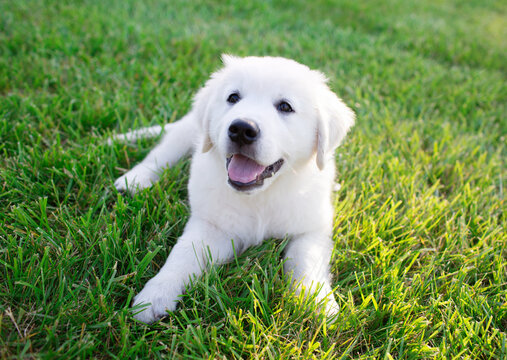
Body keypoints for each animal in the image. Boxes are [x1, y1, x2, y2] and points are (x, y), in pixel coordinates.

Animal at [113, 55, 356, 324]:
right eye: (233, 98)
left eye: (285, 107)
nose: (241, 129)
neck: (261, 196)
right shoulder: (211, 225)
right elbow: (183, 254)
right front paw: (155, 294)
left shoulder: (312, 228)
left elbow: (307, 261)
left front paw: (317, 301)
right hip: (189, 129)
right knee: (163, 151)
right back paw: (136, 178)